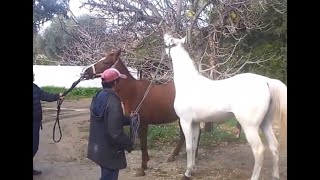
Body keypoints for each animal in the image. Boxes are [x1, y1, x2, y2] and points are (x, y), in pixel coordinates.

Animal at [164, 33, 286, 180]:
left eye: (168, 41)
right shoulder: (195, 123)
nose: (165, 34)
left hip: (250, 127)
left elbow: (188, 147)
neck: (188, 83)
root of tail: (267, 81)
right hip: (265, 124)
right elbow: (193, 146)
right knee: (274, 146)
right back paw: (275, 175)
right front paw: (192, 168)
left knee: (259, 151)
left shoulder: (185, 121)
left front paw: (187, 173)